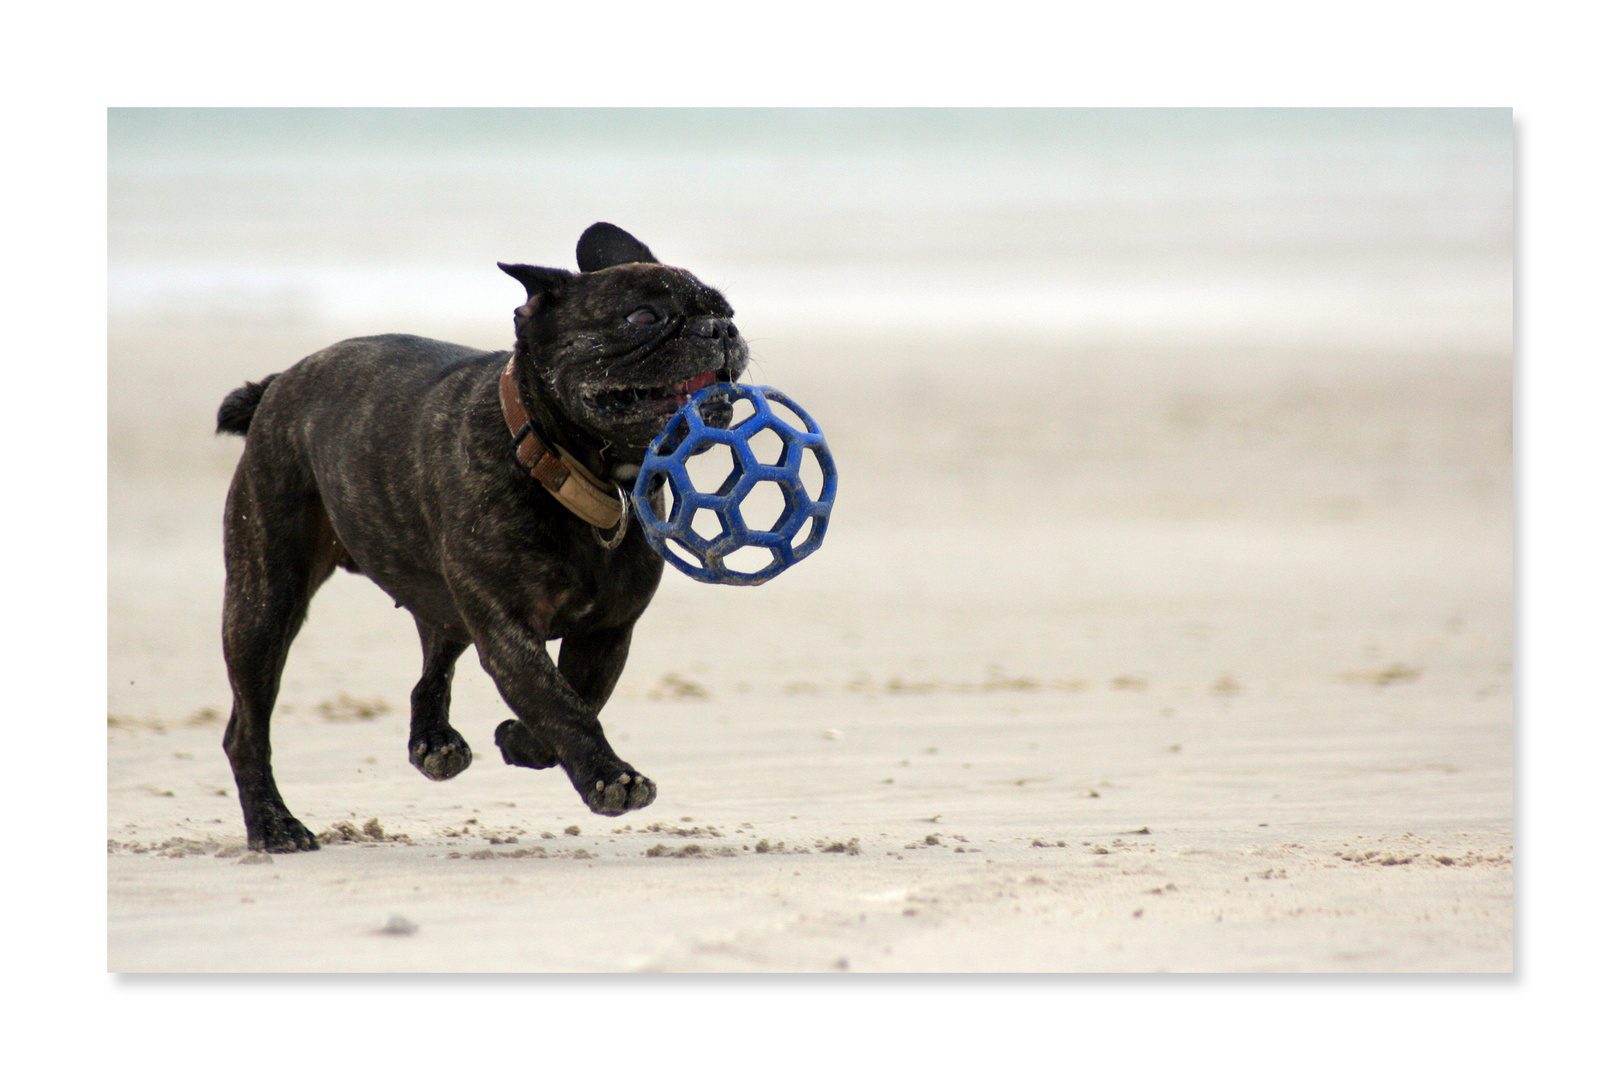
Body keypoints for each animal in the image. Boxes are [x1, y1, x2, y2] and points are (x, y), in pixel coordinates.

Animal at [213, 226, 745, 854]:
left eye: (728, 310)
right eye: (643, 317)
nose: (721, 329)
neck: (575, 468)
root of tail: (278, 385)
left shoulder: (607, 630)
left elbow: (579, 693)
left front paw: (523, 741)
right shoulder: (507, 629)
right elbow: (559, 702)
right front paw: (611, 777)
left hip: (439, 594)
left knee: (433, 661)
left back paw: (433, 743)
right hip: (264, 601)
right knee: (247, 727)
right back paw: (274, 824)